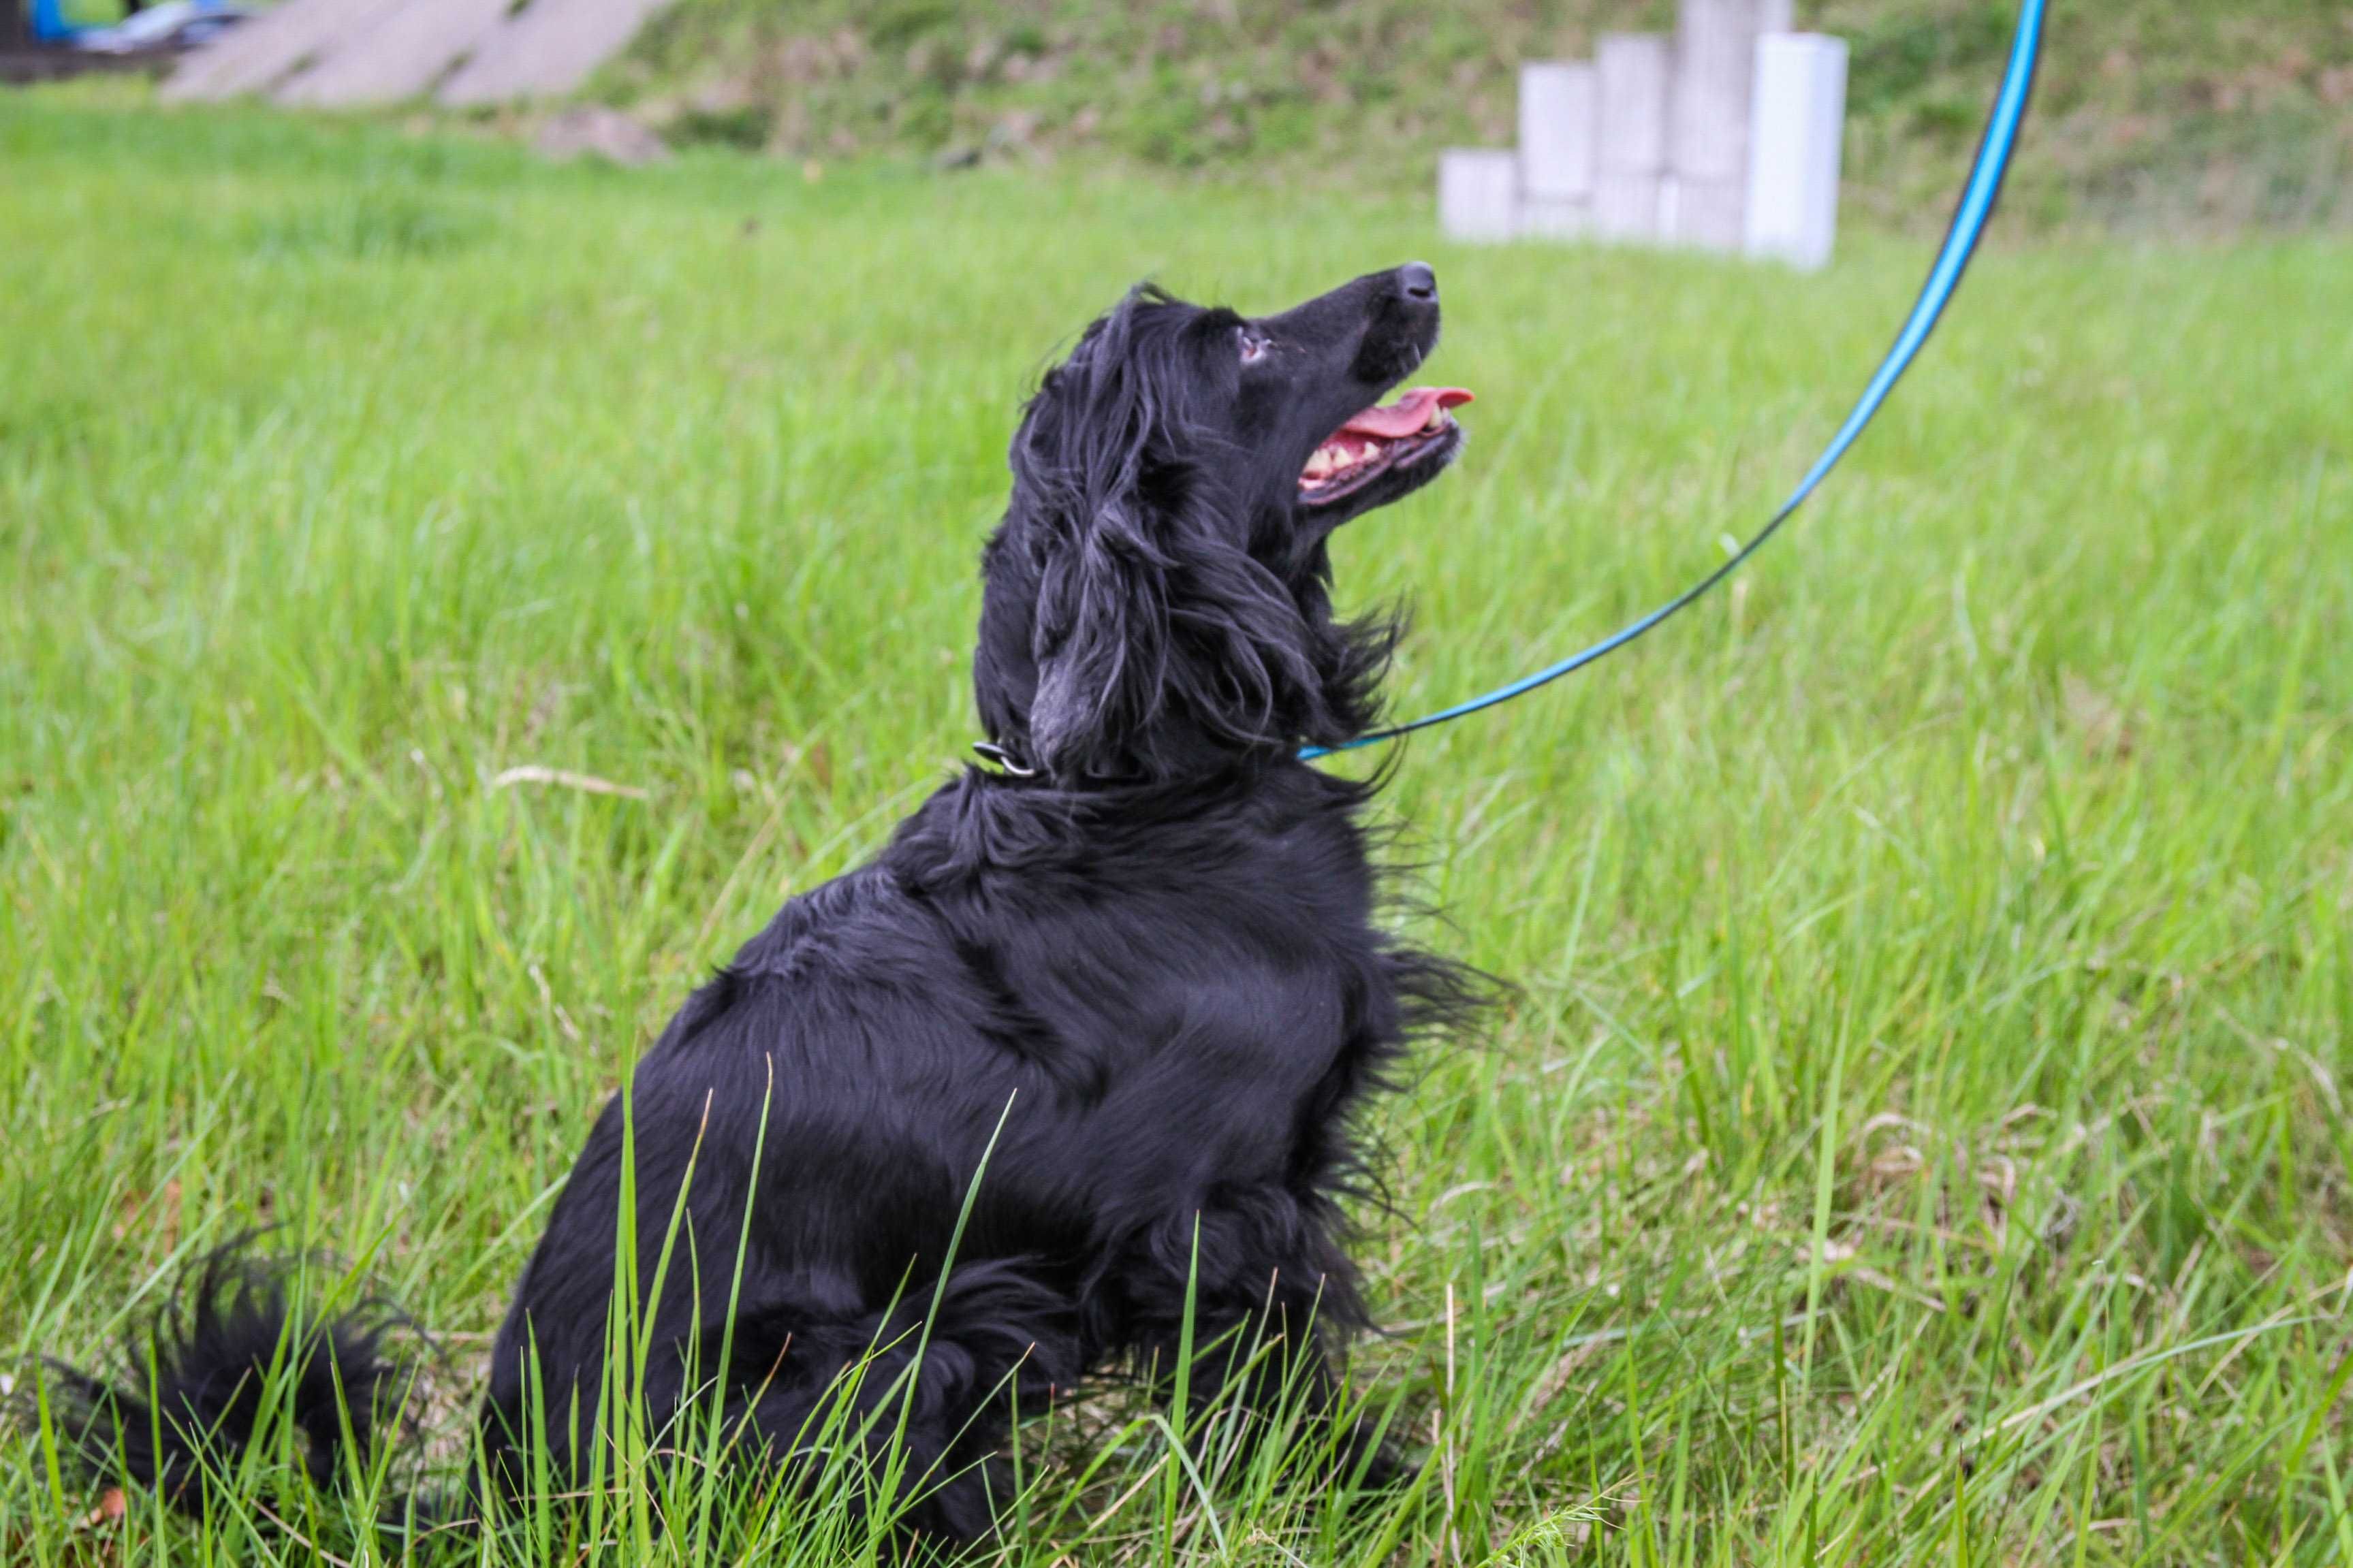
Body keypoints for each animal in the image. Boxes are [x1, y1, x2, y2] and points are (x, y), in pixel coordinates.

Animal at [64, 263, 1477, 1542]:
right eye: (1241, 343)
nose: (1421, 276)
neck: (1134, 788)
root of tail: (506, 1493)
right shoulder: (1220, 1216)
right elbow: (1277, 1391)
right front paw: (1368, 1496)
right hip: (893, 1356)